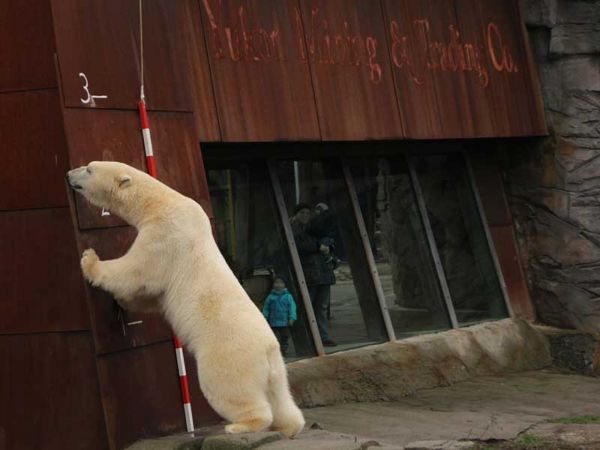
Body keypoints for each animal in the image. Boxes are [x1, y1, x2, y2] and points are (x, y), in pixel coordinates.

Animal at [67, 161, 304, 436]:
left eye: (89, 169)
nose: (69, 175)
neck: (162, 203)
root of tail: (269, 353)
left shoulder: (164, 236)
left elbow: (136, 271)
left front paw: (89, 259)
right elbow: (152, 295)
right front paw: (125, 302)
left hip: (227, 356)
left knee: (227, 387)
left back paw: (240, 425)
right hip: (277, 372)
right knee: (282, 400)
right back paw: (289, 425)